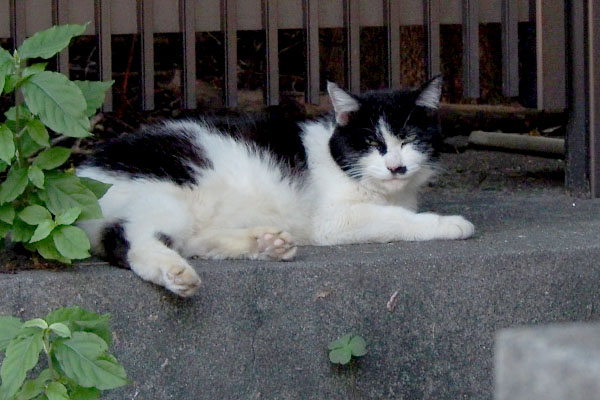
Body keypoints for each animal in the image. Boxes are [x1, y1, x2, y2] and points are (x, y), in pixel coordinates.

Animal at [78, 77, 474, 296]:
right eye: (372, 144)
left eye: (409, 140)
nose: (396, 166)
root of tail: (84, 171)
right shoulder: (332, 221)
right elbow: (396, 219)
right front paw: (448, 223)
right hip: (161, 197)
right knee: (130, 240)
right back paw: (175, 273)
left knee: (192, 241)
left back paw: (265, 243)